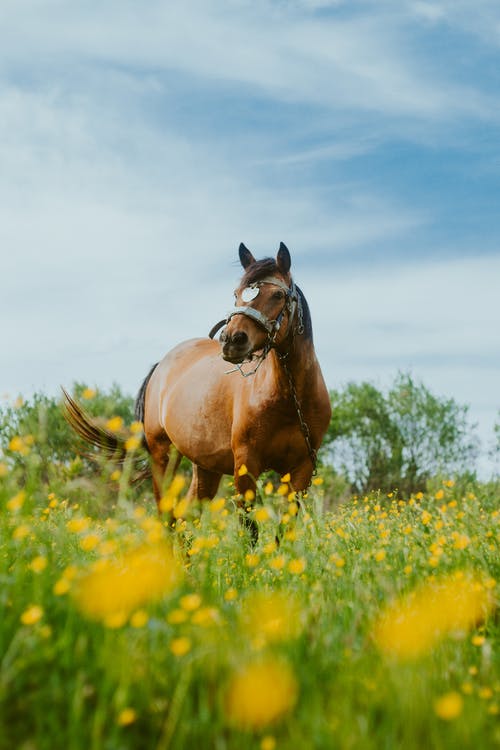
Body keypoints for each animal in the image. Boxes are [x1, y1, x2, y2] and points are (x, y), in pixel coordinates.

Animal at [65, 244, 332, 508]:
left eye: (278, 295)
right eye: (236, 293)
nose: (232, 340)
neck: (290, 400)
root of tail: (161, 365)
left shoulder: (301, 471)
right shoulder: (246, 465)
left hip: (206, 466)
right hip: (163, 456)